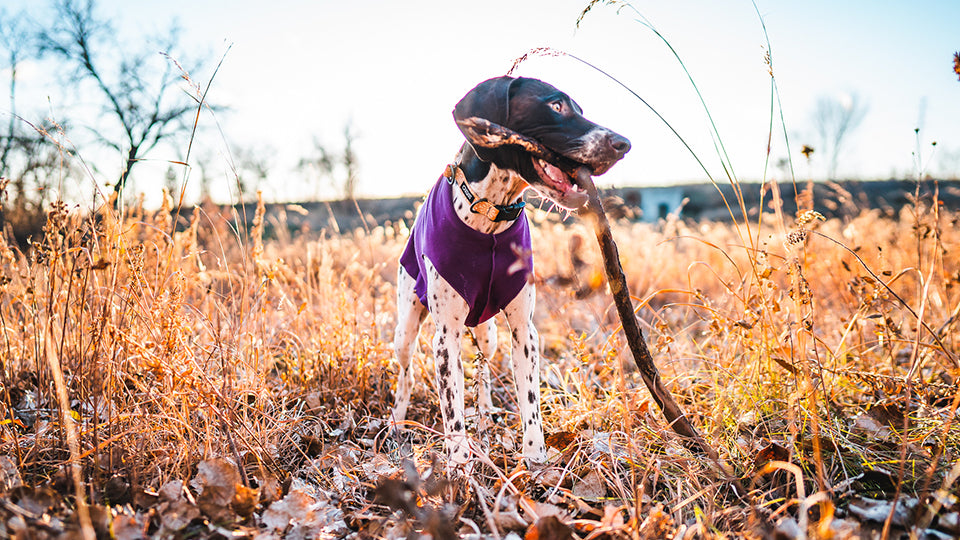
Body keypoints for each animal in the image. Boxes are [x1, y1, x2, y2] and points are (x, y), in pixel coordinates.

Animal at [390, 76, 632, 468]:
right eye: (556, 106)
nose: (623, 144)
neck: (489, 214)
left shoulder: (524, 331)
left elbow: (529, 402)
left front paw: (535, 459)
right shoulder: (445, 337)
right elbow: (452, 411)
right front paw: (459, 465)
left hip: (487, 332)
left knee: (483, 369)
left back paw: (486, 416)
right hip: (406, 327)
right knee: (406, 372)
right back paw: (398, 419)